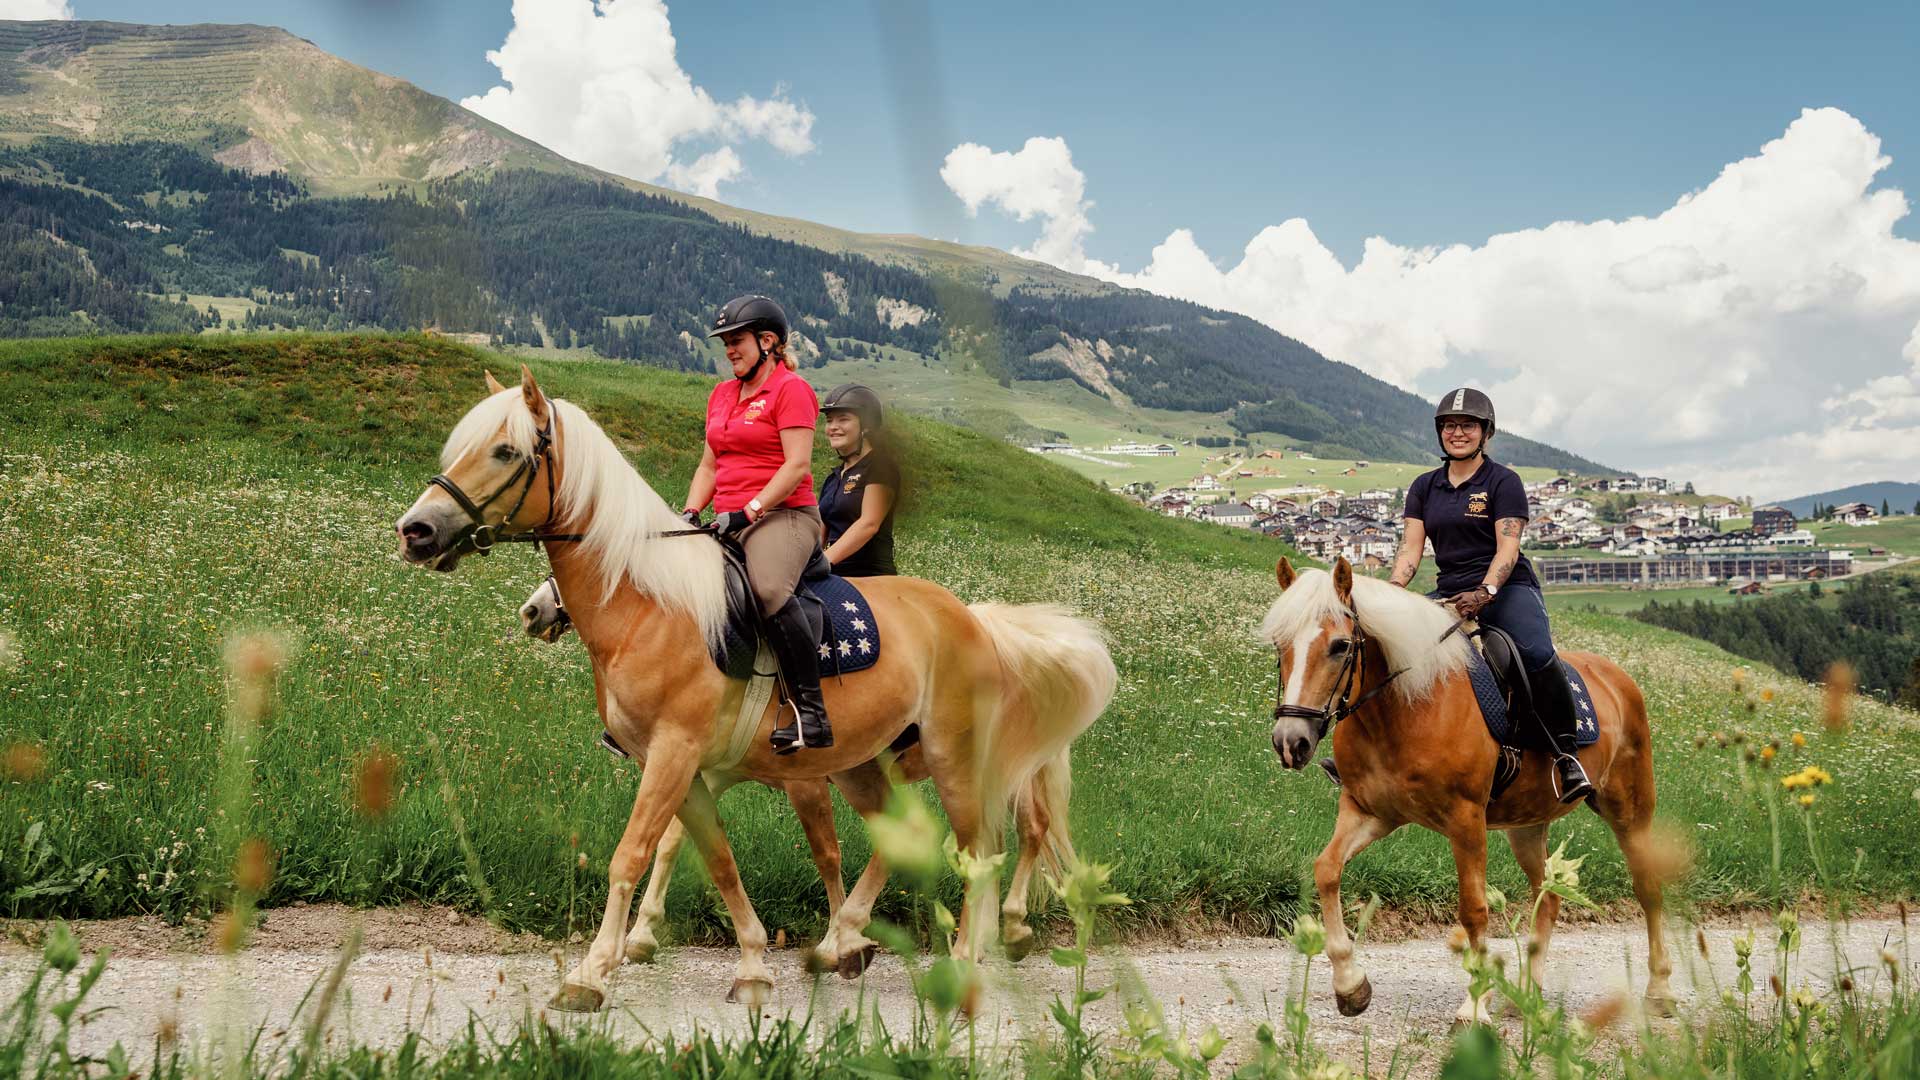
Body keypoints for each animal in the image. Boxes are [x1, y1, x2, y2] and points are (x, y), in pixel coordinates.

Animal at [518, 576, 1075, 960]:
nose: (534, 609)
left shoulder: (802, 782)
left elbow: (826, 853)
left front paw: (835, 938)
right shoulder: (710, 769)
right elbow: (676, 838)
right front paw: (642, 933)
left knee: (1029, 829)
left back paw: (1010, 925)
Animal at [1259, 557, 1666, 1022]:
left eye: (1341, 646)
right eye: (1280, 644)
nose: (1291, 741)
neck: (1407, 704)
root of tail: (1617, 677)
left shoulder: (1465, 818)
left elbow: (1473, 908)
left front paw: (1474, 1005)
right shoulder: (1369, 811)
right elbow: (1326, 870)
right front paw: (1350, 985)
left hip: (1630, 811)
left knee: (1647, 888)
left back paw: (1659, 990)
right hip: (1527, 824)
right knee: (1546, 895)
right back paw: (1527, 993)